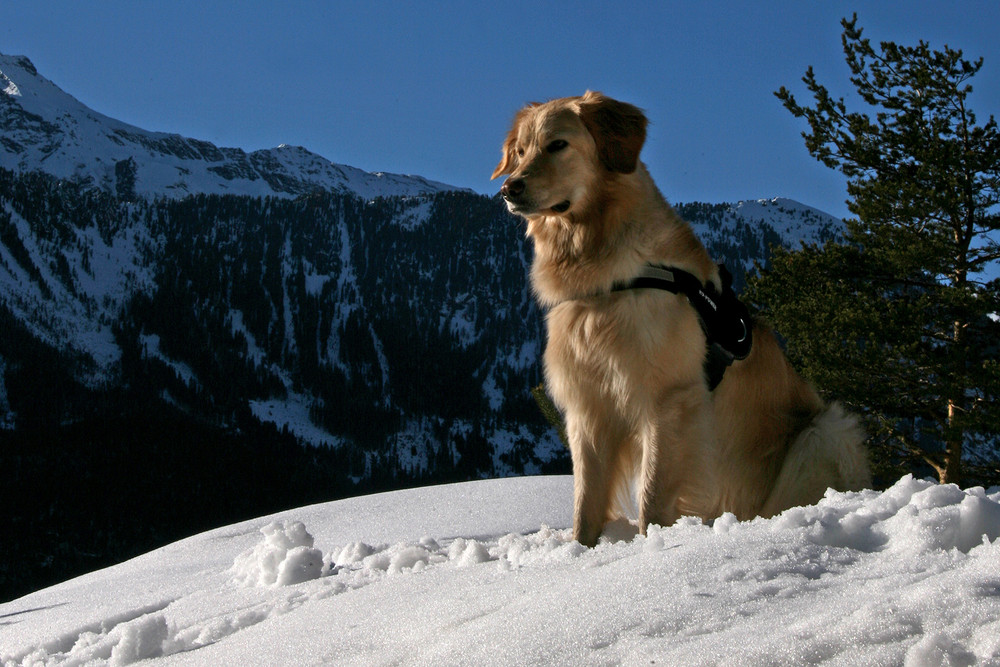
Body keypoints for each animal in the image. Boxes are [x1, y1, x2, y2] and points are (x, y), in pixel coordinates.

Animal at [492, 90, 868, 548]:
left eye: (557, 145)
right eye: (520, 152)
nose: (509, 188)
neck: (605, 276)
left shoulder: (669, 400)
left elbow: (653, 497)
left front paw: (652, 548)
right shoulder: (589, 408)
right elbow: (586, 504)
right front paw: (580, 553)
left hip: (826, 431)